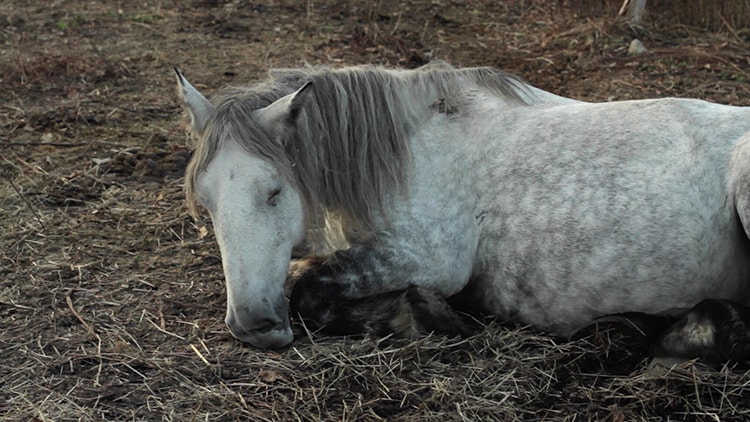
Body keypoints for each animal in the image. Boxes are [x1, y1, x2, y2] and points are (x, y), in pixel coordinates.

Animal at [175, 61, 750, 352]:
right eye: (206, 203)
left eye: (274, 191)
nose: (253, 325)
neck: (408, 147)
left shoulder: (425, 260)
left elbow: (307, 290)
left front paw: (425, 315)